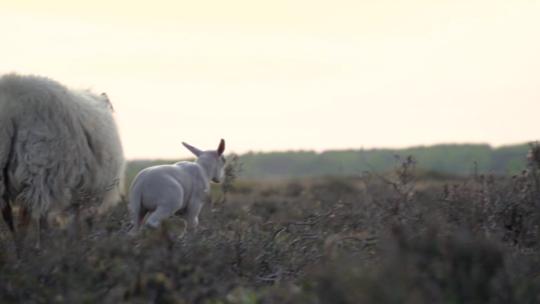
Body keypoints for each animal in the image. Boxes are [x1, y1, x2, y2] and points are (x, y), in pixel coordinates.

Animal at [0, 73, 123, 247]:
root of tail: (12, 106)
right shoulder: (90, 191)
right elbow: (83, 220)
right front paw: (83, 242)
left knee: (13, 218)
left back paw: (21, 249)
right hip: (40, 169)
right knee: (36, 214)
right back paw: (42, 247)